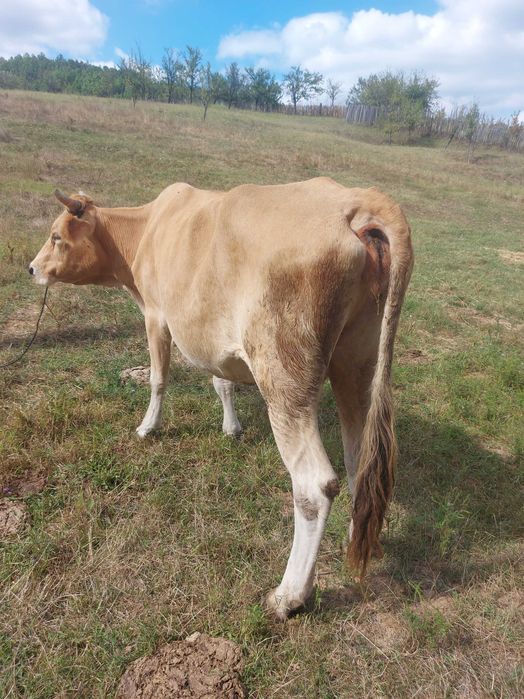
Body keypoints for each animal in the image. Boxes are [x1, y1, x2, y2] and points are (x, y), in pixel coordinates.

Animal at [29, 177, 413, 620]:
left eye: (56, 236)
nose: (31, 268)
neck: (145, 231)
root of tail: (354, 200)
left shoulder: (157, 315)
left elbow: (158, 378)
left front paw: (148, 427)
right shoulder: (211, 336)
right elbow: (221, 383)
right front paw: (231, 427)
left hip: (284, 376)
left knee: (314, 486)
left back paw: (289, 596)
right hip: (356, 363)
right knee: (359, 462)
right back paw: (358, 539)